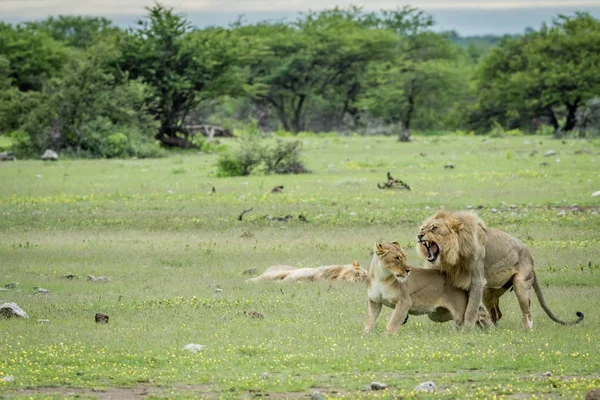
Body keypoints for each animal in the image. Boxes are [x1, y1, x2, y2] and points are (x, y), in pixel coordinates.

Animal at [364, 242, 494, 332]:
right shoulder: (374, 301)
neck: (381, 278)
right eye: (397, 258)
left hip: (459, 311)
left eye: (404, 256)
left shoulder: (404, 301)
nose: (408, 270)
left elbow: (393, 321)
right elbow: (370, 319)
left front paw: (388, 335)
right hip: (437, 315)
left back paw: (487, 329)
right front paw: (366, 334)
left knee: (476, 314)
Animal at [418, 211, 580, 330]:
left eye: (434, 228)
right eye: (422, 228)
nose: (419, 235)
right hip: (488, 291)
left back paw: (526, 329)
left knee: (527, 312)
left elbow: (470, 310)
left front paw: (466, 330)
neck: (451, 256)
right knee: (497, 311)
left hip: (520, 284)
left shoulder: (477, 281)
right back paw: (490, 325)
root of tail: (530, 257)